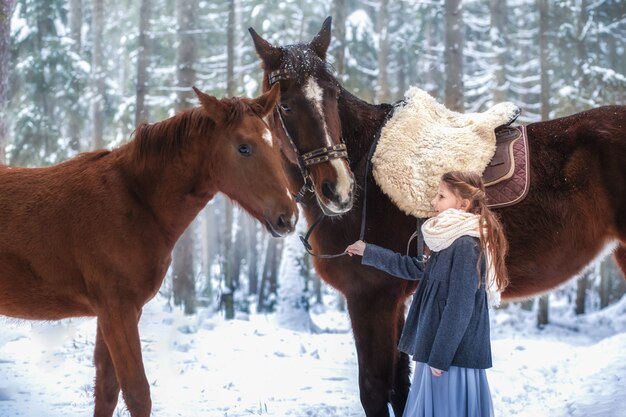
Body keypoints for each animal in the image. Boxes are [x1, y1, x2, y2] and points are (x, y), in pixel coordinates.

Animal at [0, 84, 296, 416]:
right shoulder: (117, 309)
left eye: (276, 145)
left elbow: (107, 388)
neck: (135, 200)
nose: (288, 216)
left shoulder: (118, 311)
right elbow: (137, 392)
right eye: (244, 148)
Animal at [249, 17, 624, 416]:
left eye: (333, 95)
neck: (368, 171)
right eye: (285, 106)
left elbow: (375, 388)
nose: (339, 188)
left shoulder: (371, 298)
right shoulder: (395, 301)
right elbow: (400, 386)